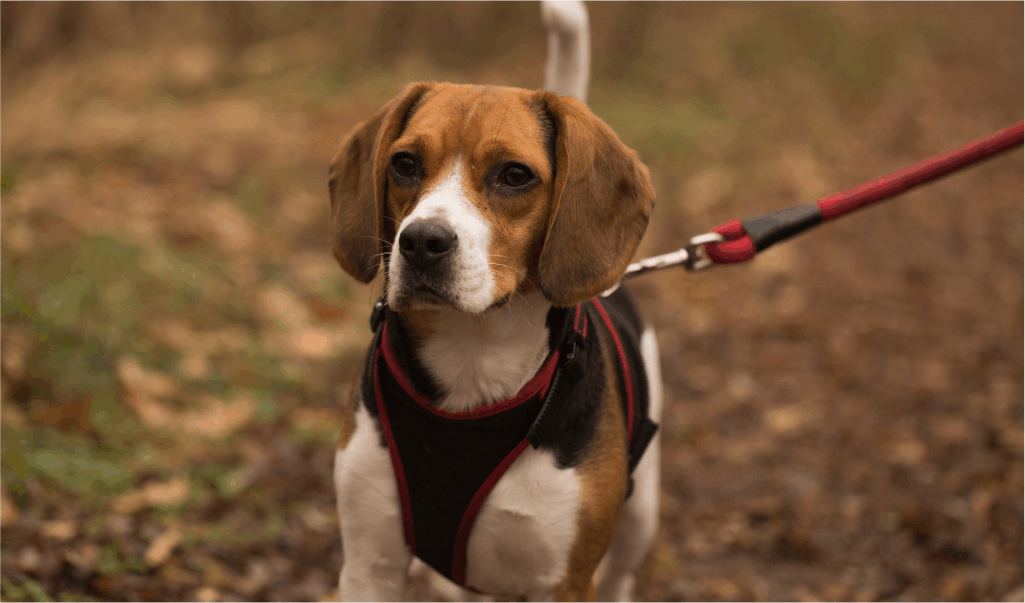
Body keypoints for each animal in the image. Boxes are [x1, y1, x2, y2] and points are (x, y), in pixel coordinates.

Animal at [332, 5, 660, 603]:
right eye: (404, 164)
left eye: (514, 175)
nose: (421, 241)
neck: (472, 358)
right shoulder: (370, 563)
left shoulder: (563, 581)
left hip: (641, 512)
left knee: (621, 572)